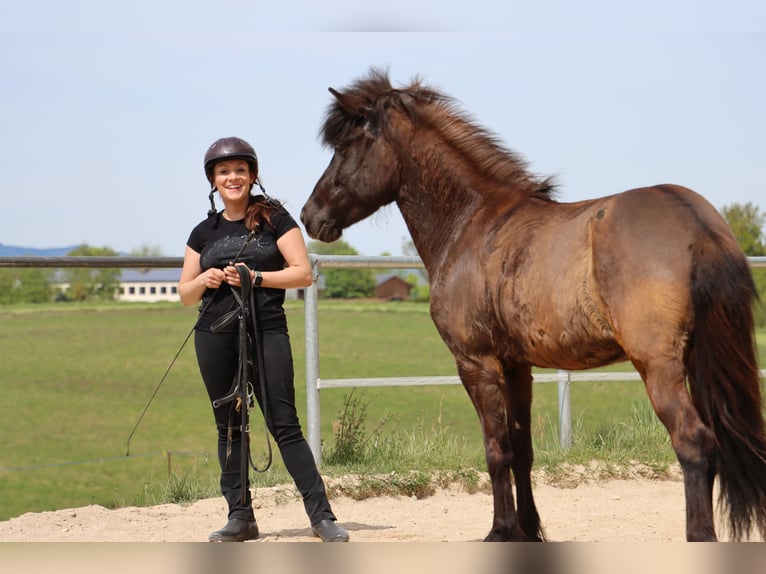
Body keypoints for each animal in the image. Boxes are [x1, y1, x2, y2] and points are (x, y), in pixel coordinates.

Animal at [302, 68, 766, 544]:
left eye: (343, 147)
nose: (309, 215)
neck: (472, 224)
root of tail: (696, 221)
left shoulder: (477, 364)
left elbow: (496, 450)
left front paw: (501, 530)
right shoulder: (516, 366)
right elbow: (522, 450)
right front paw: (528, 529)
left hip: (658, 365)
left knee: (693, 441)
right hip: (697, 360)